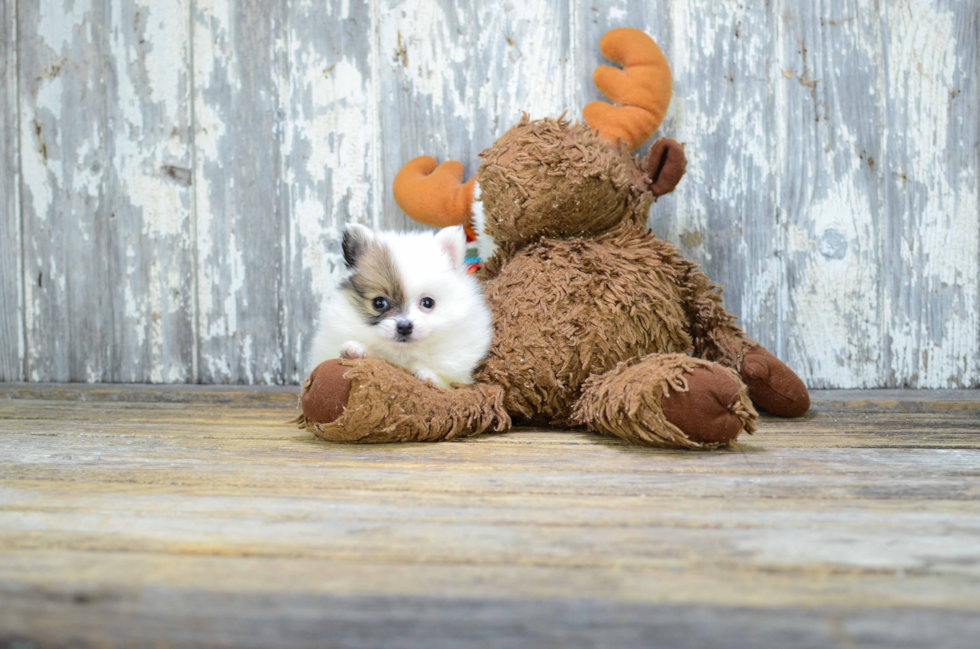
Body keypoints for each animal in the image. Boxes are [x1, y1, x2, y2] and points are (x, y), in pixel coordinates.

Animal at [308, 223, 490, 388]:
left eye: (428, 302)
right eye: (379, 303)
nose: (404, 326)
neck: (403, 354)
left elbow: (446, 384)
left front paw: (426, 373)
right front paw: (356, 351)